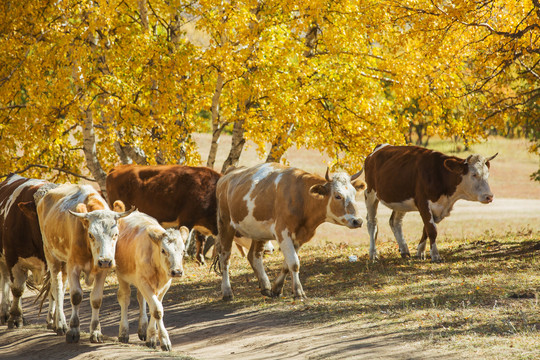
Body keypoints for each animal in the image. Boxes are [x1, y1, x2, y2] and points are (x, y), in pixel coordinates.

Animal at [0, 174, 57, 330]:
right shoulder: (13, 257)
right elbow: (17, 289)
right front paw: (15, 317)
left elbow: (53, 289)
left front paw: (53, 320)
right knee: (6, 280)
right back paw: (5, 313)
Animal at [36, 184, 133, 344]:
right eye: (91, 235)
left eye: (115, 234)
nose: (105, 261)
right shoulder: (73, 266)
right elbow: (76, 296)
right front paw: (73, 330)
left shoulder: (101, 270)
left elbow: (96, 299)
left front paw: (96, 332)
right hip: (51, 256)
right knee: (57, 288)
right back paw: (61, 324)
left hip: (64, 264)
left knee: (61, 287)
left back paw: (56, 323)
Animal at [113, 202, 189, 352]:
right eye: (163, 250)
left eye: (183, 251)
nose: (177, 272)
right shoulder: (143, 282)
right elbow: (157, 310)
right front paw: (164, 341)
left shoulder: (164, 285)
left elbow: (156, 308)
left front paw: (151, 338)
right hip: (122, 276)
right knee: (124, 298)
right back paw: (123, 333)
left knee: (141, 299)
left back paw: (142, 329)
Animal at [216, 162, 368, 300]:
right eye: (337, 196)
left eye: (354, 194)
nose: (358, 221)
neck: (301, 197)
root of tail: (229, 174)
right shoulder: (282, 232)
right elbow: (294, 263)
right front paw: (299, 292)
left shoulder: (300, 237)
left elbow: (287, 264)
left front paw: (276, 288)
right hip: (225, 225)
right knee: (225, 258)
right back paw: (227, 292)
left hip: (258, 232)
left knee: (254, 255)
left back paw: (265, 287)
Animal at [362, 143, 498, 262]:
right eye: (474, 174)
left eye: (487, 175)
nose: (489, 196)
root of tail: (379, 148)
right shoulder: (423, 203)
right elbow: (432, 230)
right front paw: (435, 256)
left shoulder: (439, 208)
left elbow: (426, 230)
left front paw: (420, 252)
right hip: (370, 193)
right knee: (372, 223)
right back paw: (373, 254)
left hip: (400, 200)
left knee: (395, 222)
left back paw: (404, 251)